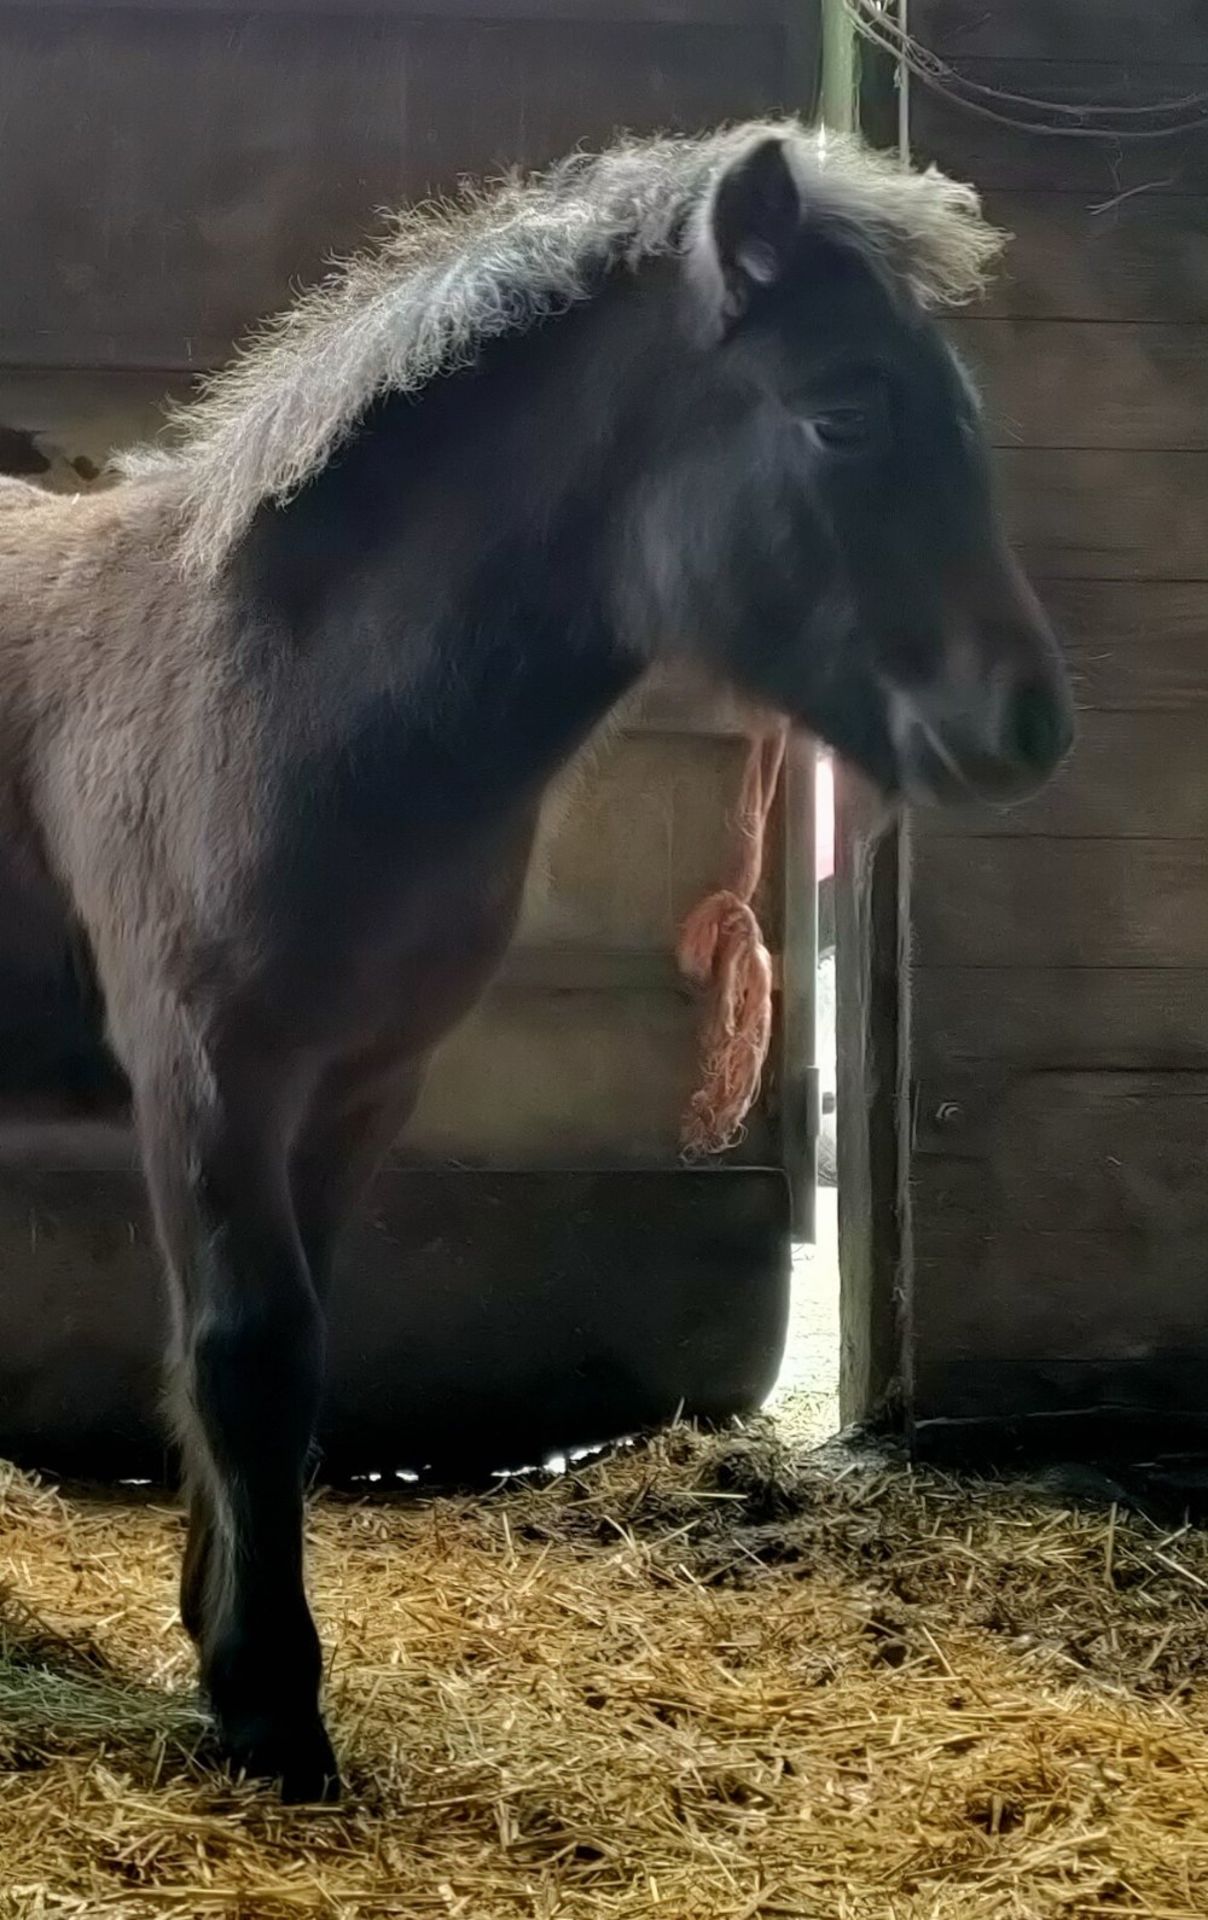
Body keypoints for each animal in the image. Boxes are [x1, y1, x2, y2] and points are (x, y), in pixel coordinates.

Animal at [0, 123, 1075, 1797]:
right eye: (842, 415)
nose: (1023, 726)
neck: (274, 685)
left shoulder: (357, 1086)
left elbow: (275, 1360)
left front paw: (220, 1641)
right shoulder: (206, 1071)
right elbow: (245, 1350)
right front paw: (270, 1707)